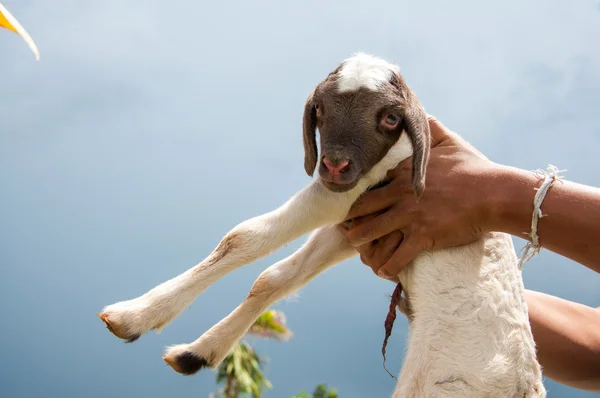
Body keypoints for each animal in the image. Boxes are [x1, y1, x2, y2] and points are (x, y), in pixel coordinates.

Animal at [99, 53, 548, 398]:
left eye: (390, 117)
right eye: (320, 109)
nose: (334, 165)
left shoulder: (348, 195)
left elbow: (243, 237)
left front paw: (133, 314)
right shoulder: (355, 225)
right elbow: (275, 276)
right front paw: (198, 352)